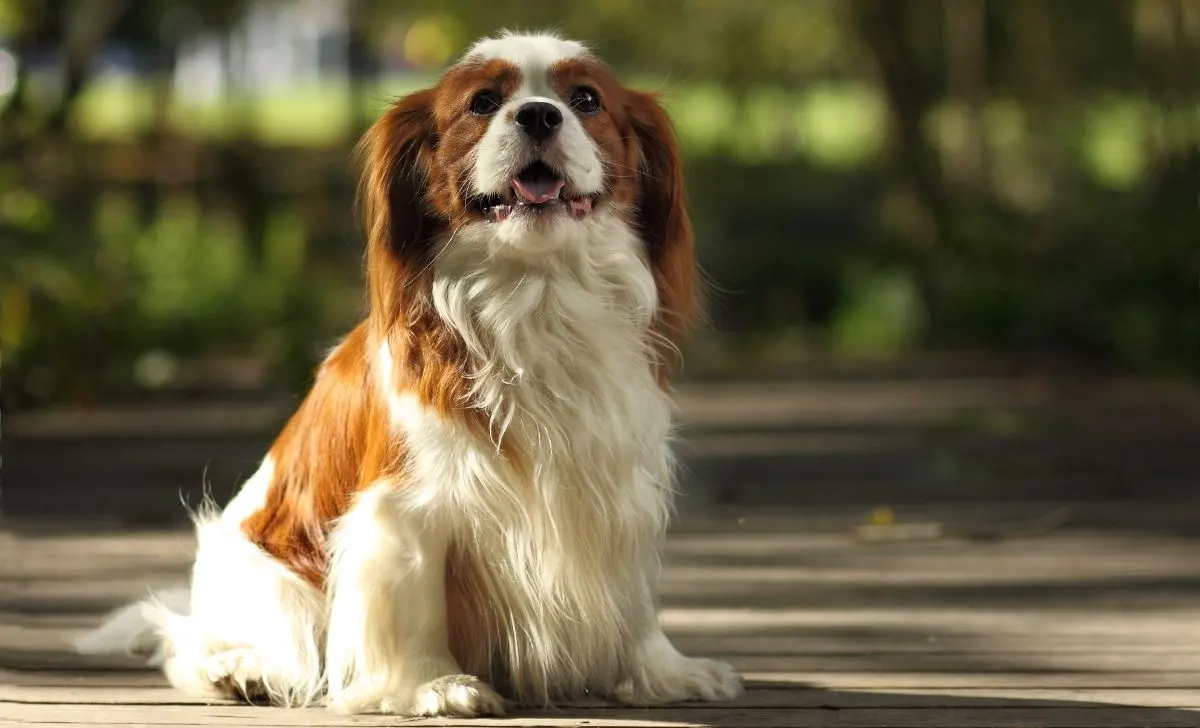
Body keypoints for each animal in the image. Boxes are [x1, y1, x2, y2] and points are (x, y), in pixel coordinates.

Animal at [75, 29, 739, 719]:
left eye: (586, 101)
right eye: (482, 103)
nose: (538, 114)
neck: (538, 294)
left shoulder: (618, 486)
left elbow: (634, 595)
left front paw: (662, 670)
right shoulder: (405, 508)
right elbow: (414, 599)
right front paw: (433, 684)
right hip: (270, 582)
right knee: (189, 647)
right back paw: (238, 669)